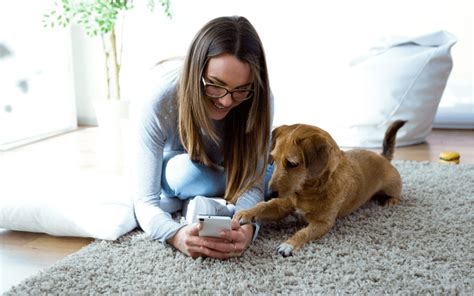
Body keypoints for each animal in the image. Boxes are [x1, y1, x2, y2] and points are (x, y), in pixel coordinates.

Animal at [235, 120, 406, 256]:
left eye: (292, 164)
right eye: (274, 159)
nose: (270, 193)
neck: (306, 192)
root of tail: (382, 156)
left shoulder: (323, 223)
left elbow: (303, 232)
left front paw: (289, 244)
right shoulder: (281, 206)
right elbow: (263, 206)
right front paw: (246, 213)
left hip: (392, 186)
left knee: (397, 195)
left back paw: (391, 201)